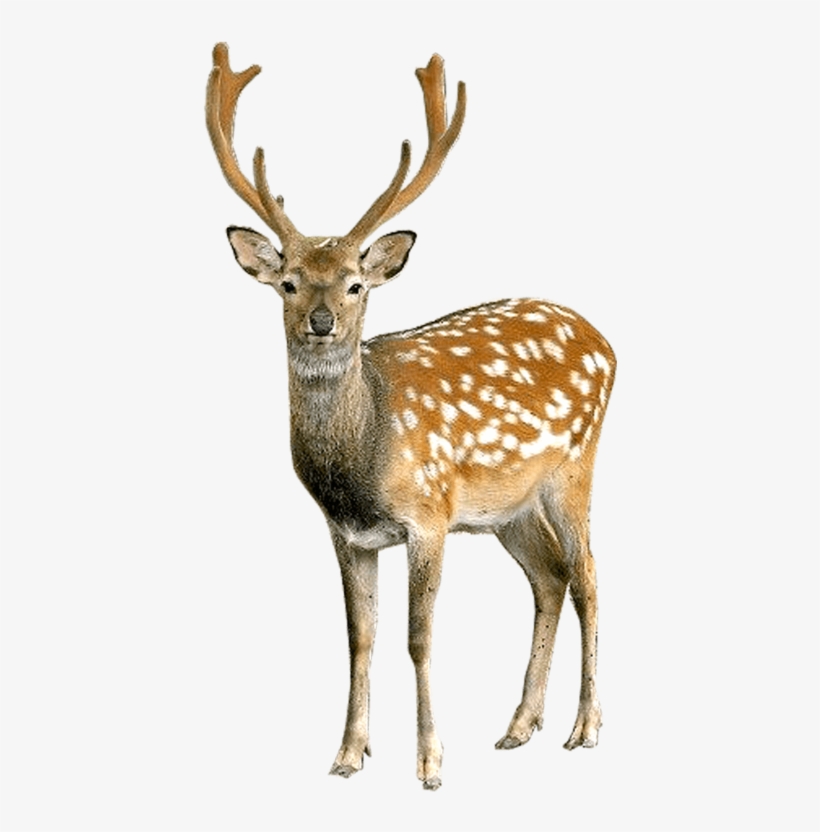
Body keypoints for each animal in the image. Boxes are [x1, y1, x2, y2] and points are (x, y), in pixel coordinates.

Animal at [206, 43, 616, 790]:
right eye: (288, 283)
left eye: (355, 285)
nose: (320, 322)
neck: (362, 460)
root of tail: (608, 342)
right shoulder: (348, 533)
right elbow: (359, 637)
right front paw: (347, 753)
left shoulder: (429, 514)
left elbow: (418, 637)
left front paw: (429, 763)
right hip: (506, 508)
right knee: (550, 577)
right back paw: (518, 726)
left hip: (574, 467)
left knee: (591, 578)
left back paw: (585, 728)